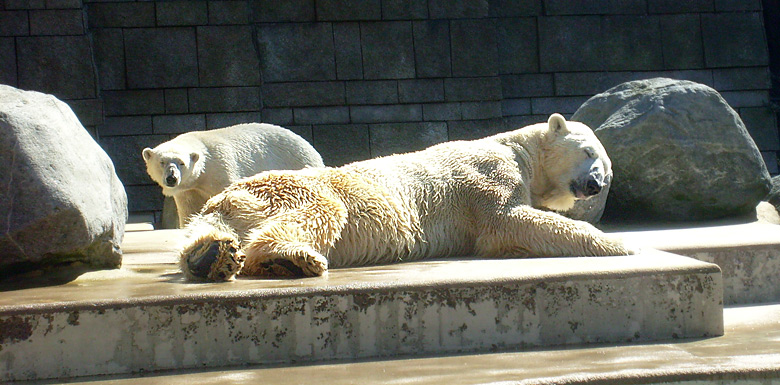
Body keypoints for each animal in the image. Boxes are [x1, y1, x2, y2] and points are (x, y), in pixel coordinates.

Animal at [142, 122, 322, 225]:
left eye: (181, 163)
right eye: (162, 162)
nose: (171, 178)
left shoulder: (221, 169)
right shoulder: (188, 190)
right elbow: (189, 211)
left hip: (297, 163)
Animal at [178, 112, 632, 280]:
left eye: (608, 169)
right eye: (588, 152)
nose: (596, 184)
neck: (517, 150)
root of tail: (229, 195)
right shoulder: (486, 175)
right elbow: (507, 220)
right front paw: (619, 244)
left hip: (235, 203)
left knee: (201, 231)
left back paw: (211, 256)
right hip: (295, 188)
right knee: (321, 210)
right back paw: (291, 258)